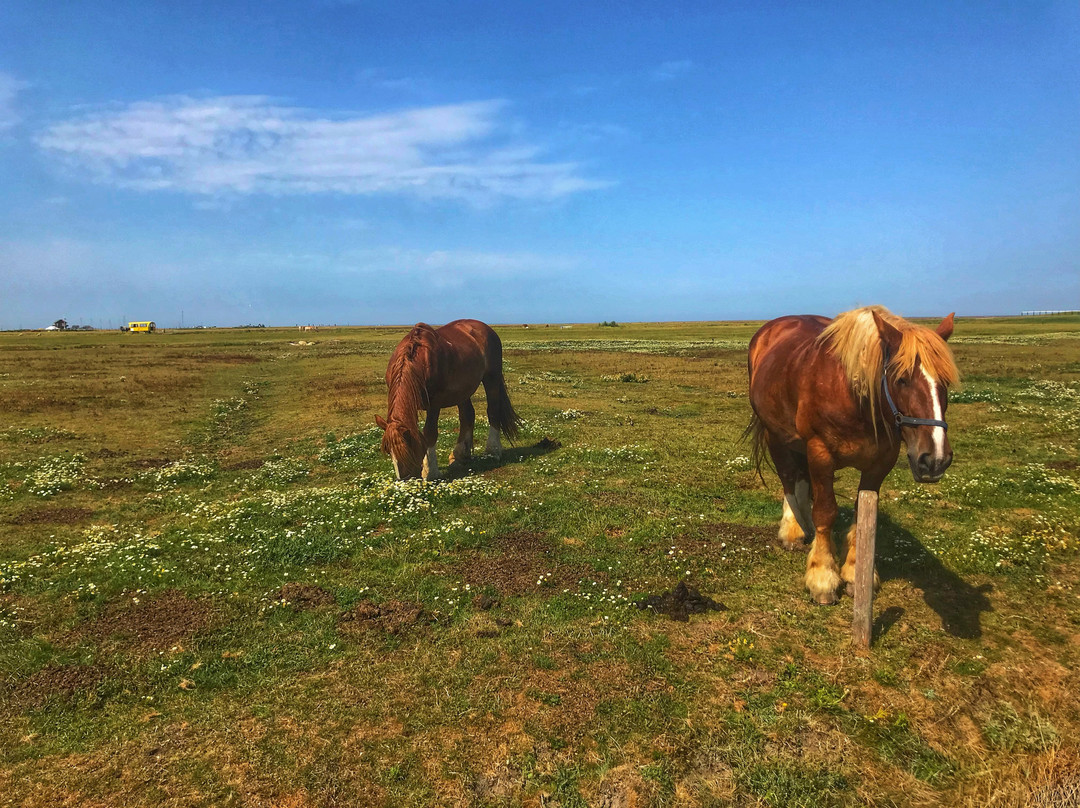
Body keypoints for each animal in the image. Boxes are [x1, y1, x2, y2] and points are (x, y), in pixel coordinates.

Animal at [375, 317, 522, 479]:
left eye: (408, 451)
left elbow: (429, 433)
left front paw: (430, 471)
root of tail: (486, 328)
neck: (417, 362)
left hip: (492, 378)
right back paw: (460, 455)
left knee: (493, 410)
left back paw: (493, 451)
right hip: (463, 390)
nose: (405, 480)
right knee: (467, 415)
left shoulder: (434, 404)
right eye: (388, 451)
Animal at [747, 306, 959, 604]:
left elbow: (863, 516)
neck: (853, 396)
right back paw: (793, 530)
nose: (935, 459)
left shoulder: (880, 463)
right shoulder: (820, 453)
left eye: (946, 382)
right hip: (775, 435)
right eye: (901, 379)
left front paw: (856, 574)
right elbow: (825, 512)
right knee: (788, 478)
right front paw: (822, 577)